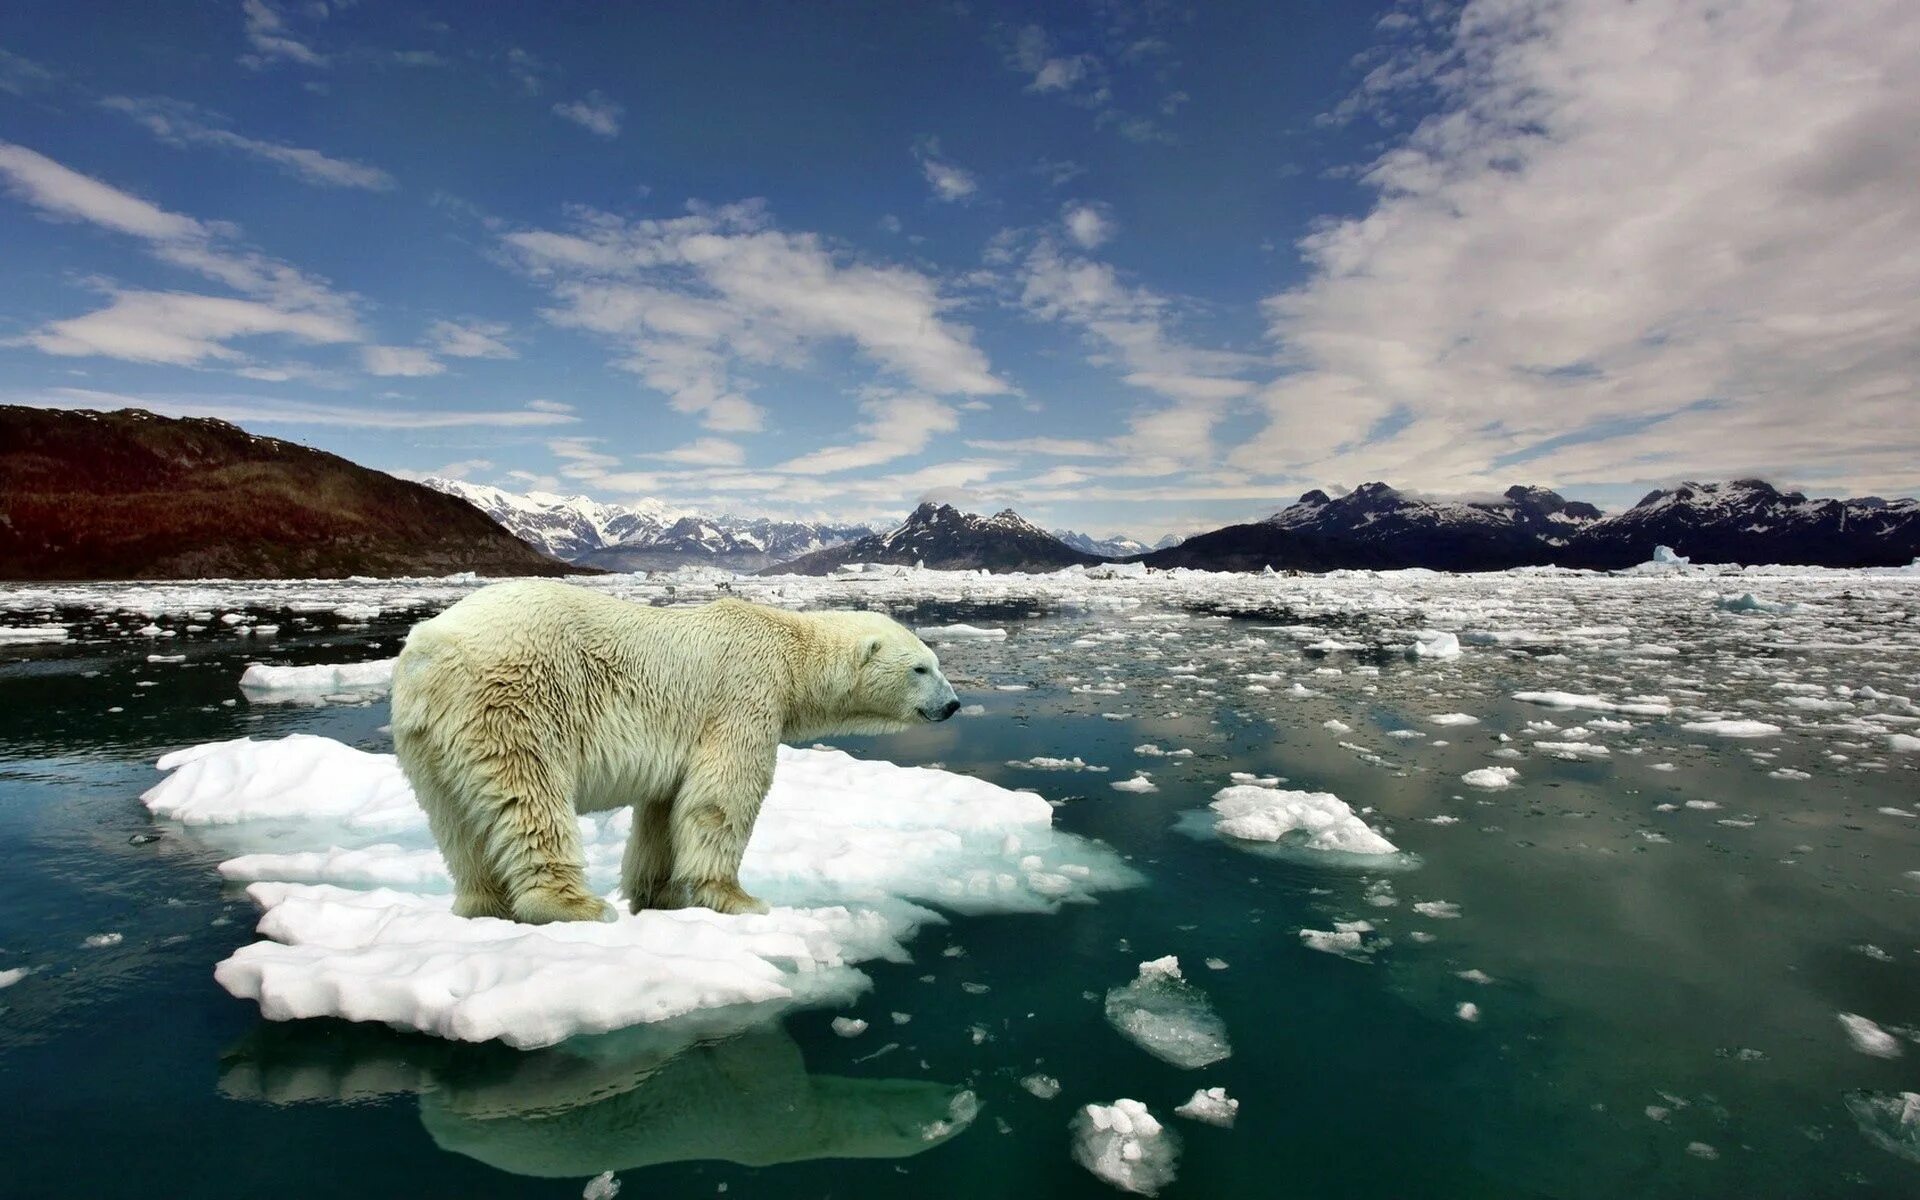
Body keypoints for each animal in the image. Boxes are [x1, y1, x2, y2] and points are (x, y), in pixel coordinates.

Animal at [389, 583, 960, 921]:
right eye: (921, 668)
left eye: (935, 662)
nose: (953, 705)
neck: (789, 649)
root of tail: (429, 652)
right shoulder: (744, 695)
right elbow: (722, 797)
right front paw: (738, 898)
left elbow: (664, 811)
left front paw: (657, 895)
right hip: (514, 702)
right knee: (530, 798)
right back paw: (574, 905)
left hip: (426, 739)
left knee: (456, 822)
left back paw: (482, 905)